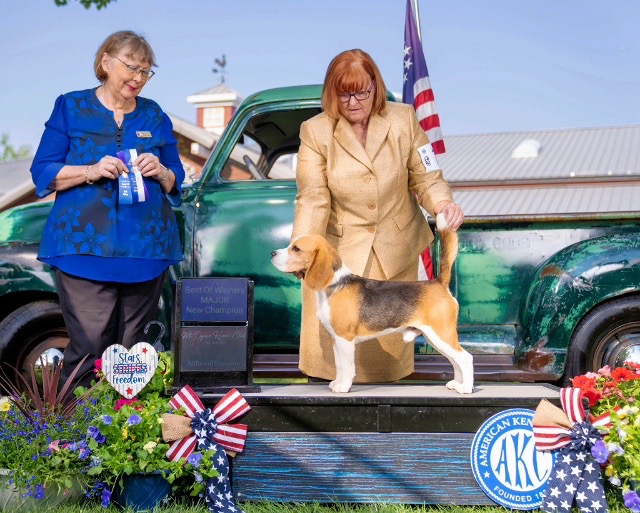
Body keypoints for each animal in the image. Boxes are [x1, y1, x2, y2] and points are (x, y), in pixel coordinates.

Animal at [272, 212, 476, 392]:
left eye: (296, 249)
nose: (273, 253)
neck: (334, 284)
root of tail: (439, 282)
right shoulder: (336, 340)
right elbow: (339, 366)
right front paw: (337, 383)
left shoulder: (345, 339)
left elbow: (347, 367)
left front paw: (343, 387)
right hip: (435, 337)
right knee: (455, 360)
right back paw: (457, 384)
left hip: (441, 333)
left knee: (465, 358)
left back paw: (466, 388)